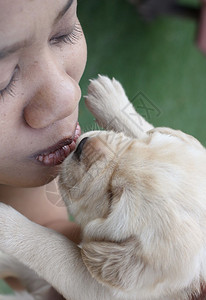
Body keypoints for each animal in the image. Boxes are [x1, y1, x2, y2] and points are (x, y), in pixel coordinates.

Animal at [0, 75, 206, 300]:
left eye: (112, 197)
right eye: (140, 145)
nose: (82, 146)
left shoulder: (99, 288)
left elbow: (53, 245)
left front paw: (6, 223)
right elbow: (143, 126)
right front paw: (110, 98)